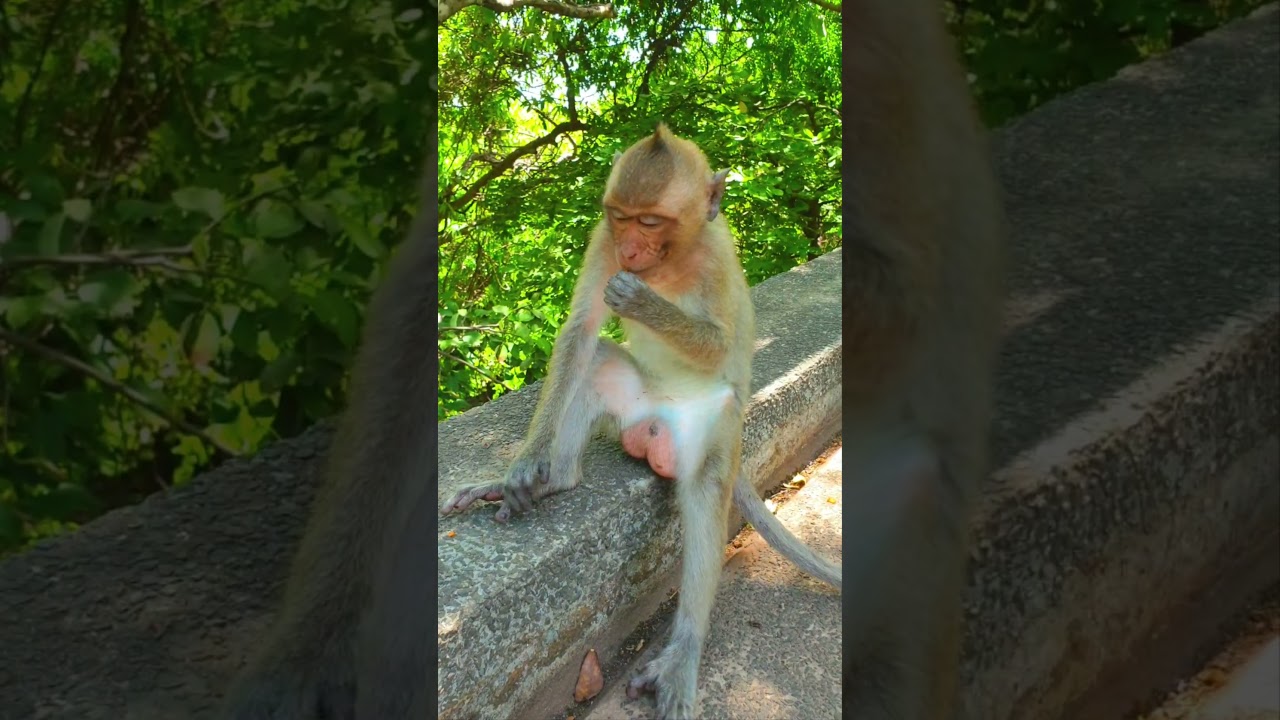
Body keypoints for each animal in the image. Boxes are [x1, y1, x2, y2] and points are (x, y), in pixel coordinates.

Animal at [439, 123, 841, 720]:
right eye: (621, 217)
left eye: (651, 222)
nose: (629, 250)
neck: (670, 260)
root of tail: (655, 420)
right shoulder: (600, 239)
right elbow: (580, 331)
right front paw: (526, 465)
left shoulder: (717, 259)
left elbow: (721, 342)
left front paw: (643, 301)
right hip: (632, 404)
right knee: (595, 362)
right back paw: (556, 479)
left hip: (711, 428)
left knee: (707, 486)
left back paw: (683, 651)